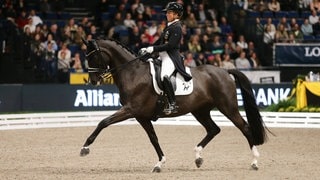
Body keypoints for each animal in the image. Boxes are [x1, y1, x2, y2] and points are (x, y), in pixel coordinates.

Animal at [80, 38, 268, 172]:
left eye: (93, 56)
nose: (93, 81)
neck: (133, 73)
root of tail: (224, 71)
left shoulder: (130, 110)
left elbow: (103, 122)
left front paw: (85, 148)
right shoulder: (141, 116)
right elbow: (153, 138)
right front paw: (159, 163)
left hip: (227, 107)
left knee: (244, 127)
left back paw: (255, 162)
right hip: (200, 111)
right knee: (213, 129)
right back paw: (198, 157)